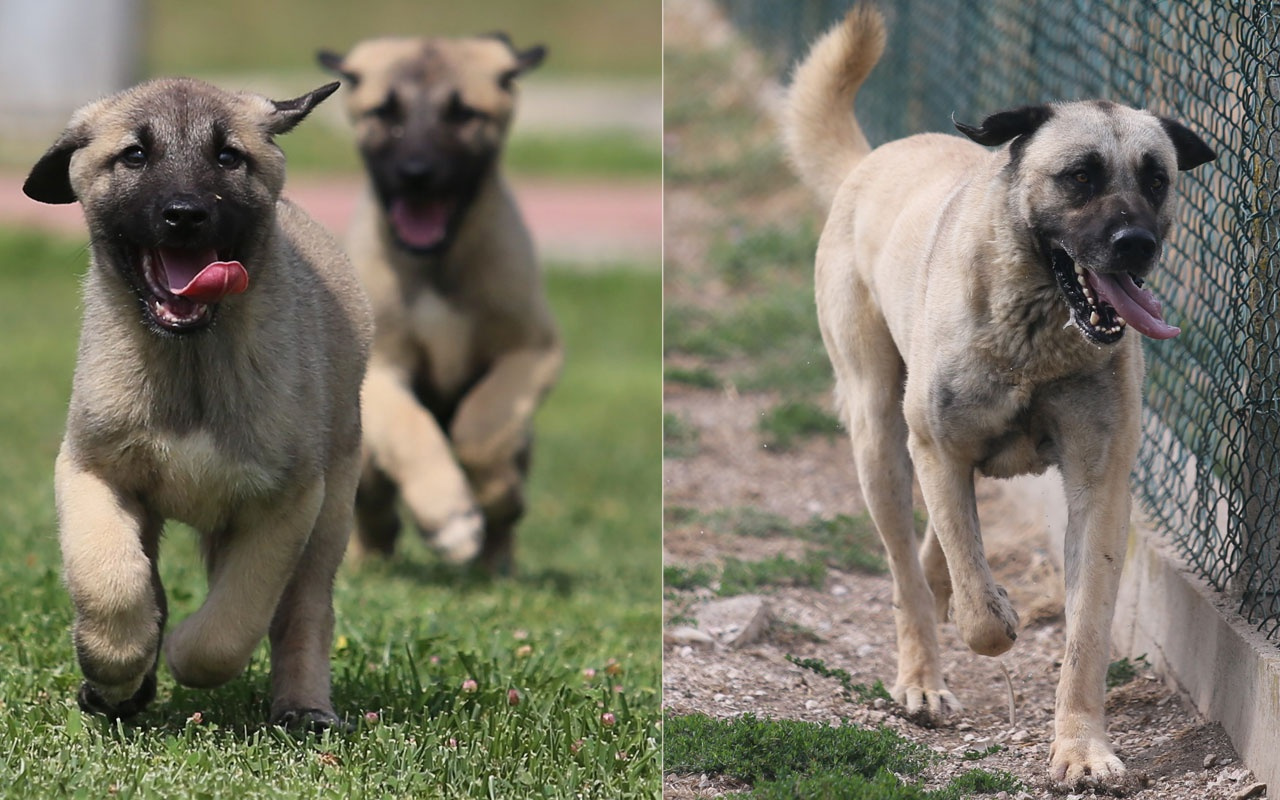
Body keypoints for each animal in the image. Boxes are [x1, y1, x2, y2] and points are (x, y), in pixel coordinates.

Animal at [23, 78, 373, 727]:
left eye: (228, 156)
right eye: (135, 155)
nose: (185, 214)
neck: (191, 363)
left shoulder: (286, 504)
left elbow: (232, 626)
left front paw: (182, 649)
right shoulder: (92, 471)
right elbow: (111, 581)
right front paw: (115, 666)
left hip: (333, 509)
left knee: (304, 613)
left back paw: (305, 709)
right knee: (148, 581)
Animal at [318, 35, 560, 573]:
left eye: (463, 114)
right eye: (384, 112)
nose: (416, 174)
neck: (435, 264)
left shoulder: (533, 351)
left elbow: (483, 423)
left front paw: (493, 495)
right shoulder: (380, 366)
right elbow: (411, 428)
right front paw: (448, 517)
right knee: (370, 495)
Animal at [783, 6, 1213, 788]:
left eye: (1157, 178)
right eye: (1080, 176)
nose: (1135, 243)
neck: (1039, 331)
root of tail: (871, 160)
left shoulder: (1099, 486)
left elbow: (1085, 632)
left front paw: (1082, 748)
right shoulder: (939, 448)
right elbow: (980, 613)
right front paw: (995, 616)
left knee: (932, 557)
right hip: (879, 436)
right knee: (908, 568)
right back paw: (921, 677)